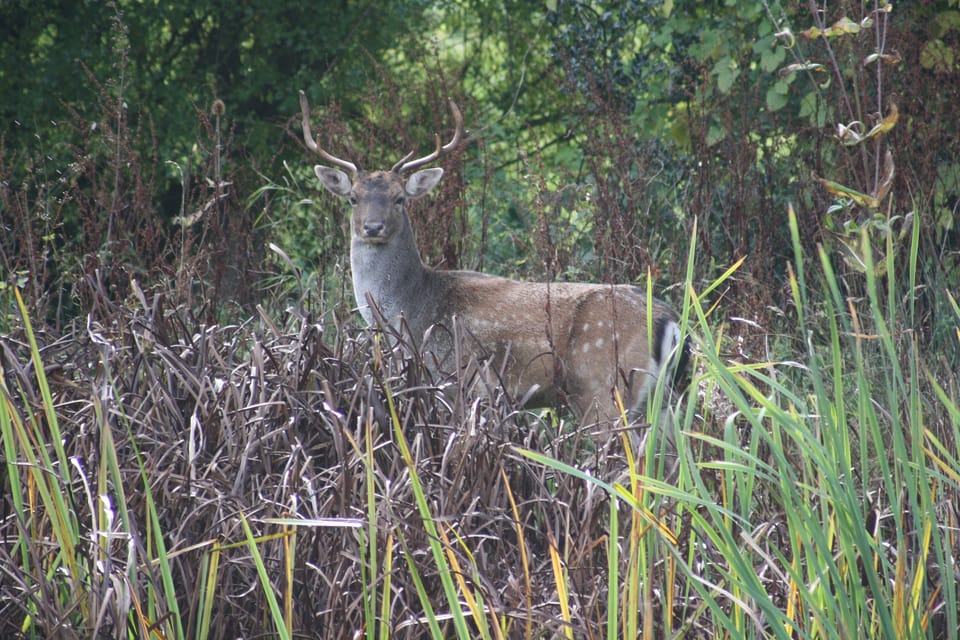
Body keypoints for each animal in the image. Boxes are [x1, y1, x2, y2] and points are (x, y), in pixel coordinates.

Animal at [299, 90, 688, 434]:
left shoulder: (460, 381)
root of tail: (669, 320)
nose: (373, 227)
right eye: (352, 198)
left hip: (603, 388)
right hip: (663, 399)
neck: (412, 311)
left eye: (399, 199)